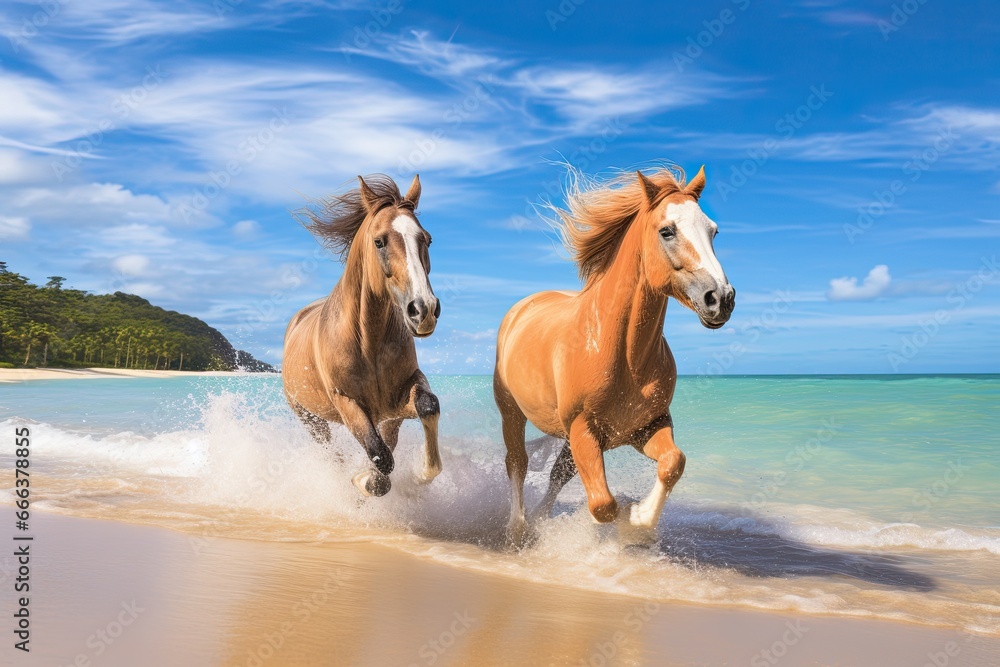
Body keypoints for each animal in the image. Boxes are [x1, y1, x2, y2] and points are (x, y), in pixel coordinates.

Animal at [283, 174, 443, 498]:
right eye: (379, 241)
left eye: (427, 239)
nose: (424, 310)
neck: (368, 343)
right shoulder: (346, 402)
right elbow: (380, 456)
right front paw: (362, 480)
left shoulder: (396, 404)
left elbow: (428, 406)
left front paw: (422, 473)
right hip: (309, 417)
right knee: (330, 451)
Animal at [493, 165, 735, 546]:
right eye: (667, 231)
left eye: (713, 231)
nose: (721, 298)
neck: (625, 356)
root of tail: (524, 305)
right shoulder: (584, 429)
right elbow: (603, 504)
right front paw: (627, 519)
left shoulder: (645, 426)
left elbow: (673, 463)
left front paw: (640, 521)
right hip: (512, 412)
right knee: (517, 463)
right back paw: (519, 527)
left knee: (558, 473)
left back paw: (539, 519)